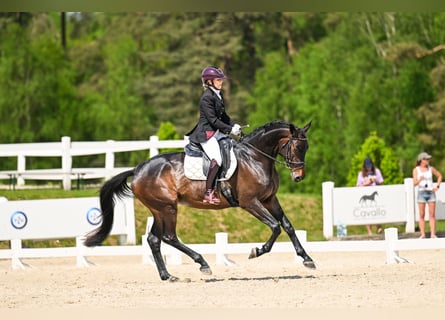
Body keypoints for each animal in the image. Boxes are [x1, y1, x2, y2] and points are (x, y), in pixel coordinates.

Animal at [83, 120, 312, 282]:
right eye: (295, 147)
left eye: (306, 148)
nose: (298, 177)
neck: (255, 158)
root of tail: (138, 170)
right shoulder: (250, 202)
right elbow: (275, 226)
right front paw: (257, 251)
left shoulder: (269, 199)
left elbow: (287, 226)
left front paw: (307, 259)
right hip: (168, 208)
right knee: (169, 236)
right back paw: (202, 264)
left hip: (159, 210)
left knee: (154, 239)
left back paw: (168, 276)